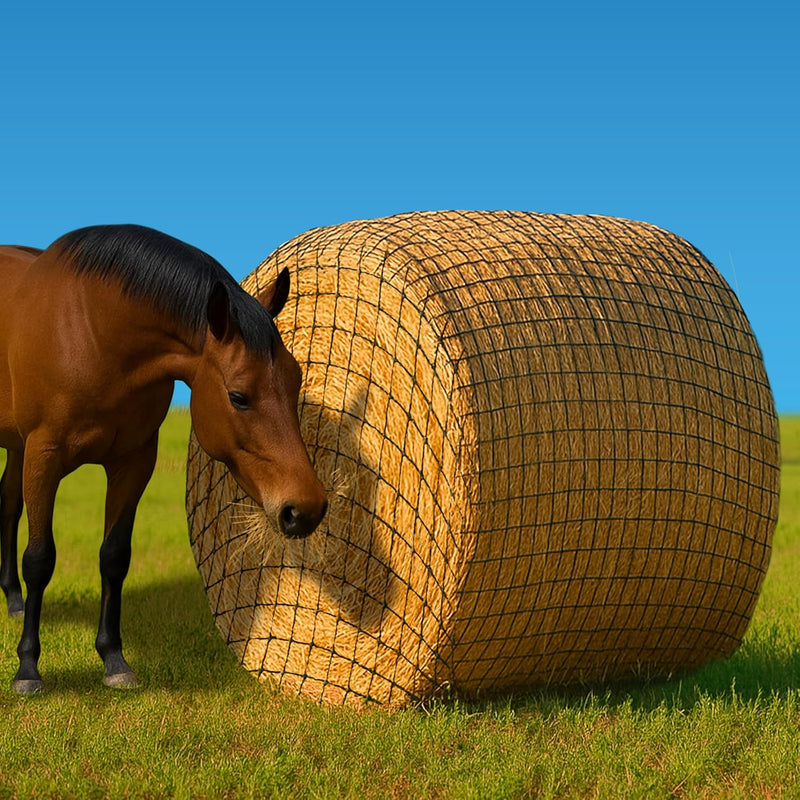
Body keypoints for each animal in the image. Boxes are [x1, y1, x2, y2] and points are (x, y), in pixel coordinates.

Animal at [0, 224, 328, 694]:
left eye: (296, 379)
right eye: (238, 396)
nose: (306, 509)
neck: (90, 331)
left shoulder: (133, 462)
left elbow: (114, 556)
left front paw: (114, 660)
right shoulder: (44, 456)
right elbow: (40, 559)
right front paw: (27, 668)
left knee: (7, 504)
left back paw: (12, 600)